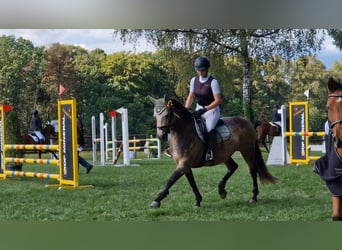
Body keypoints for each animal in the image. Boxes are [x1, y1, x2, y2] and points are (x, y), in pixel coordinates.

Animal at [150, 96, 278, 208]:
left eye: (167, 115)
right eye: (155, 116)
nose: (160, 136)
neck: (184, 132)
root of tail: (247, 122)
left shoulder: (184, 164)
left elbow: (171, 180)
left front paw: (157, 200)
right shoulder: (185, 166)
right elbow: (192, 183)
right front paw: (198, 201)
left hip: (247, 150)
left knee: (253, 170)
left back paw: (254, 197)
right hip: (225, 154)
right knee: (233, 167)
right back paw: (221, 190)